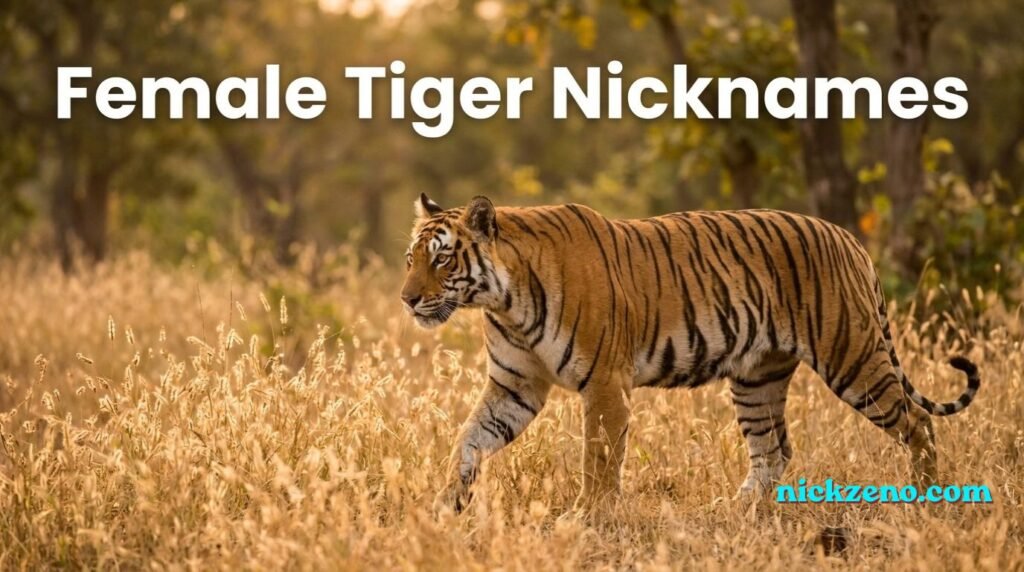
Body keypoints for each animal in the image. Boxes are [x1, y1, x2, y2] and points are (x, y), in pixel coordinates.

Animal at [400, 193, 981, 515]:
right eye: (411, 259)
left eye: (442, 259)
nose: (407, 299)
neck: (503, 301)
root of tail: (849, 238)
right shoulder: (515, 386)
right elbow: (468, 443)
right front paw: (444, 507)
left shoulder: (605, 384)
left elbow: (598, 460)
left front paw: (589, 519)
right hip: (757, 378)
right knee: (773, 451)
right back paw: (736, 511)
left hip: (853, 358)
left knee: (919, 424)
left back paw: (928, 502)